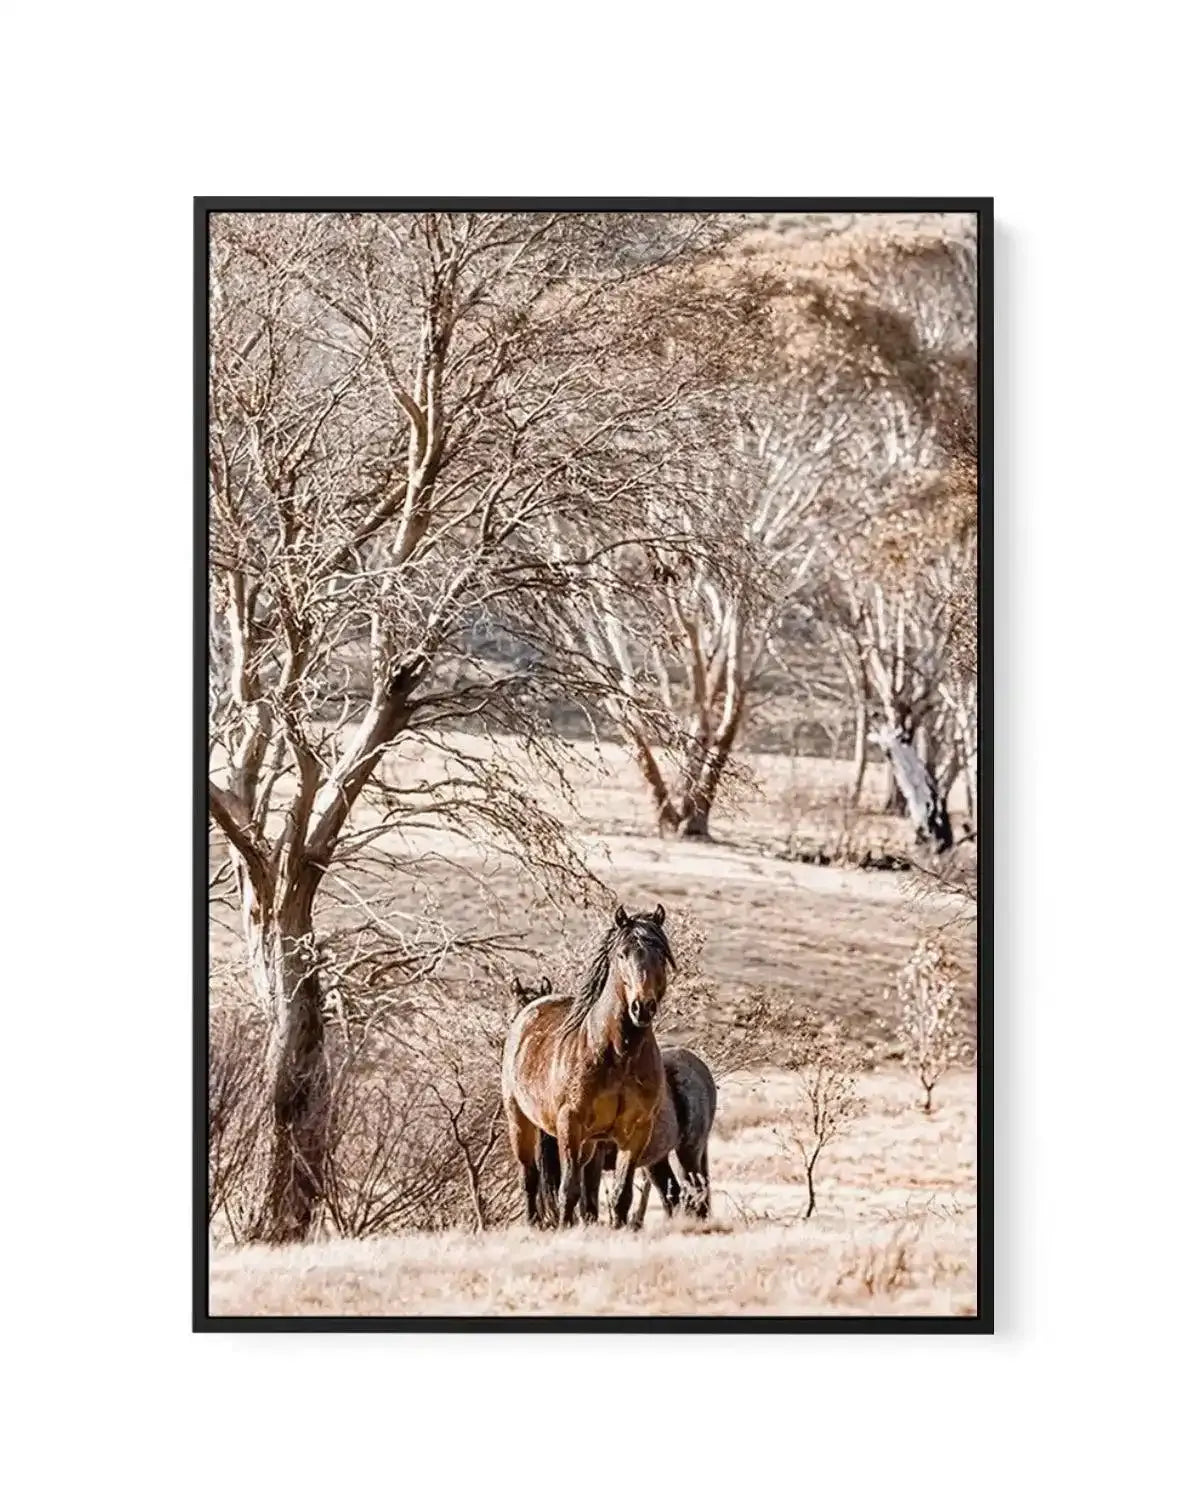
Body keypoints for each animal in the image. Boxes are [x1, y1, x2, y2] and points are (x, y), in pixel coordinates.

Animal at [501, 904, 675, 1228]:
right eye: (622, 954)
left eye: (661, 954)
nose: (642, 1007)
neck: (618, 1054)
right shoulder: (570, 1124)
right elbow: (568, 1189)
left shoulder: (636, 1131)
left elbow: (620, 1195)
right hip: (521, 1122)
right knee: (530, 1177)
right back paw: (534, 1223)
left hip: (591, 1143)